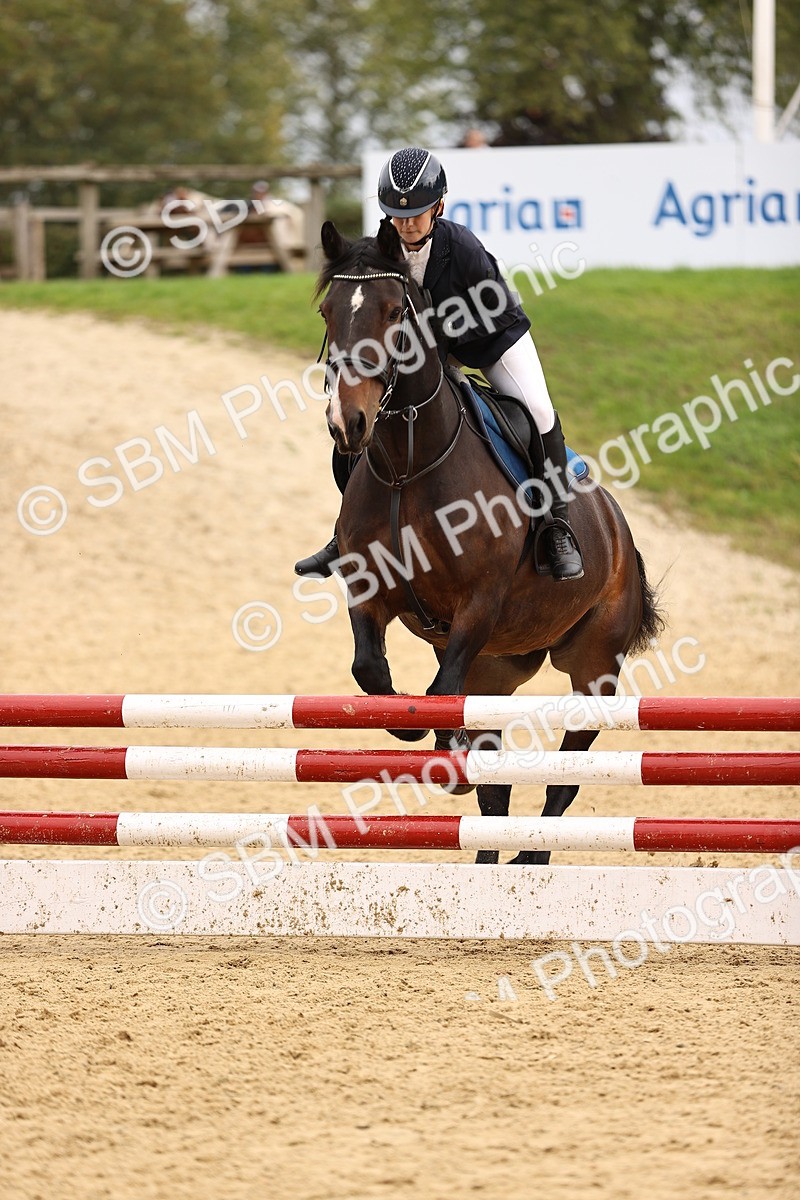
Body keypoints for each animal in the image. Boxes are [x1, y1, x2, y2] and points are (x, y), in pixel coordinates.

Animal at [314, 218, 664, 864]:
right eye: (328, 312)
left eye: (394, 311)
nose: (347, 424)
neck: (408, 464)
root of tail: (618, 526)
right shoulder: (371, 593)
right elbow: (371, 673)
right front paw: (411, 725)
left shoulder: (480, 602)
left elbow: (440, 688)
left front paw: (437, 734)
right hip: (498, 670)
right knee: (496, 785)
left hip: (593, 667)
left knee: (565, 777)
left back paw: (532, 856)